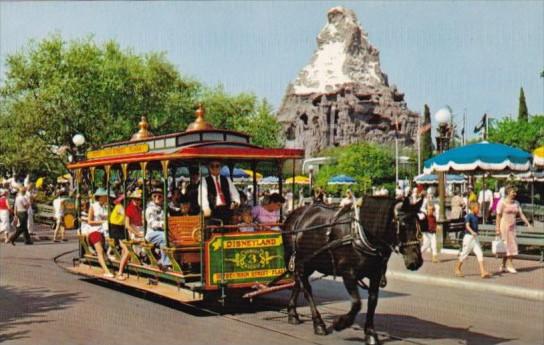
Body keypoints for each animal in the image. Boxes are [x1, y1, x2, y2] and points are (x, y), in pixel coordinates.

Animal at [280, 196, 424, 344]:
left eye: (418, 224)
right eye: (403, 225)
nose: (416, 261)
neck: (359, 234)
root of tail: (294, 214)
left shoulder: (376, 274)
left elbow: (373, 301)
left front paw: (370, 333)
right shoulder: (348, 273)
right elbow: (356, 303)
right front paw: (340, 323)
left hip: (307, 263)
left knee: (298, 283)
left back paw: (292, 313)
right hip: (301, 262)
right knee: (307, 289)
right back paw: (318, 323)